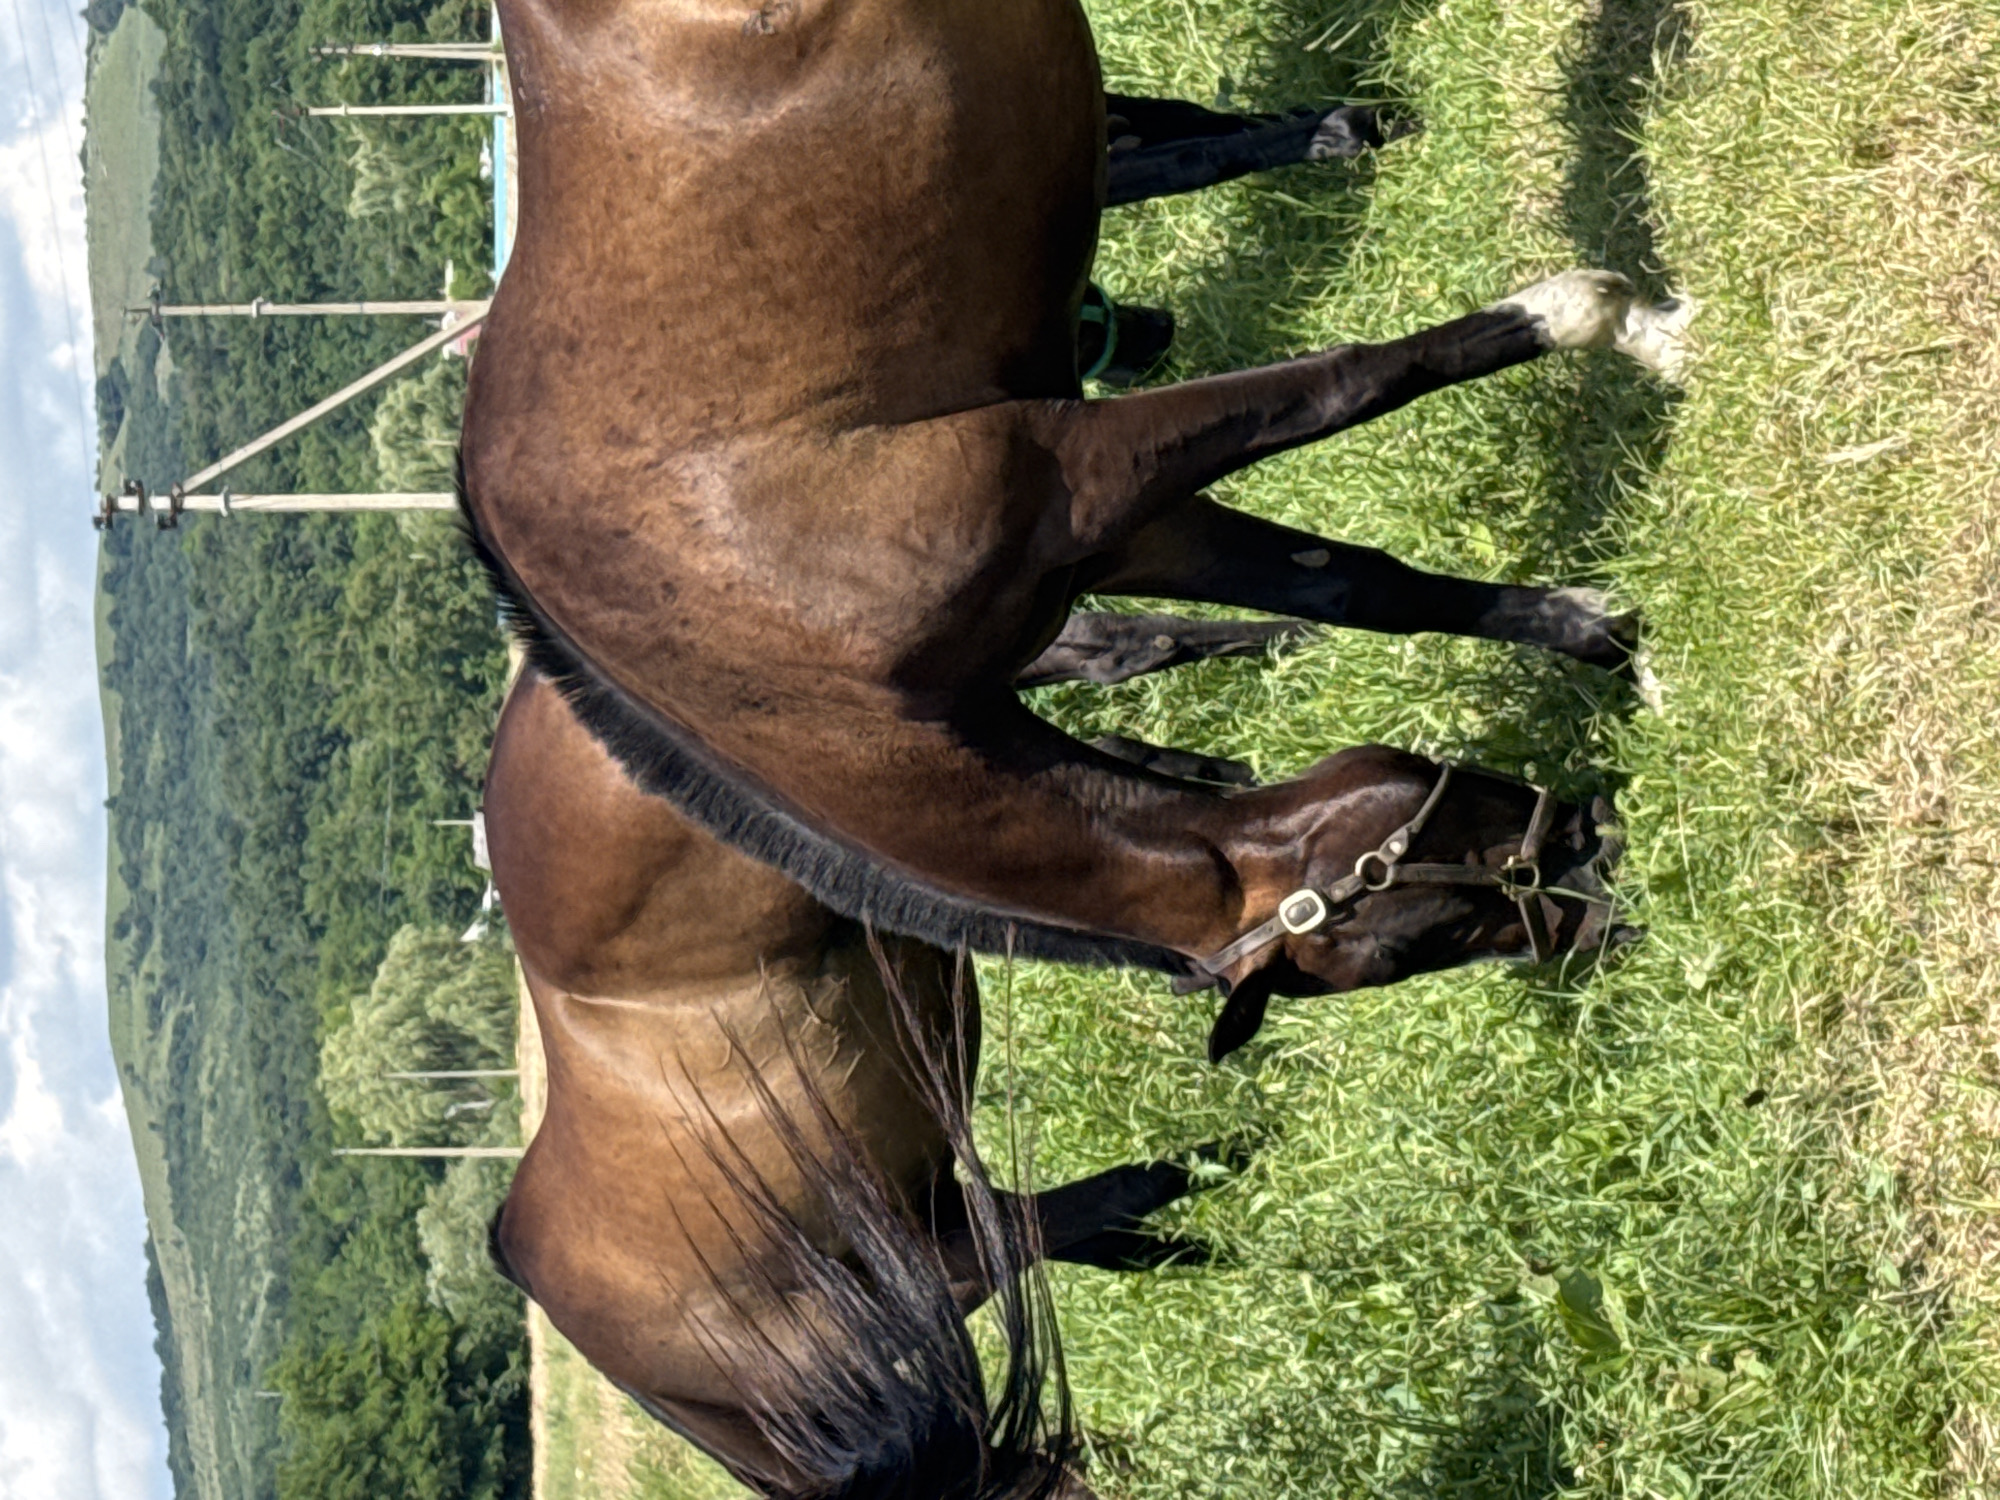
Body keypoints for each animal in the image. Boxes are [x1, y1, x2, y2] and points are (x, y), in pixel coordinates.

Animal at [459, 0, 1676, 1021]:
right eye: (1424, 937)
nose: (1608, 889)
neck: (764, 637)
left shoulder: (1082, 467)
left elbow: (1350, 382)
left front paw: (1606, 316)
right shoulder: (1112, 533)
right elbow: (1363, 585)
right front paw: (1607, 639)